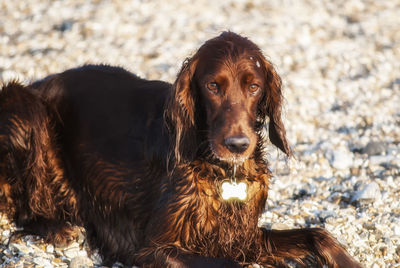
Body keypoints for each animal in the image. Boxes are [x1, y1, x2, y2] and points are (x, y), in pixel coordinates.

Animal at [0, 31, 360, 268]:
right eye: (213, 86)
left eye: (254, 86)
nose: (237, 145)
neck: (220, 169)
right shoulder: (153, 248)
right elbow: (234, 264)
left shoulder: (243, 237)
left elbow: (319, 234)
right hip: (23, 106)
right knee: (24, 208)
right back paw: (61, 228)